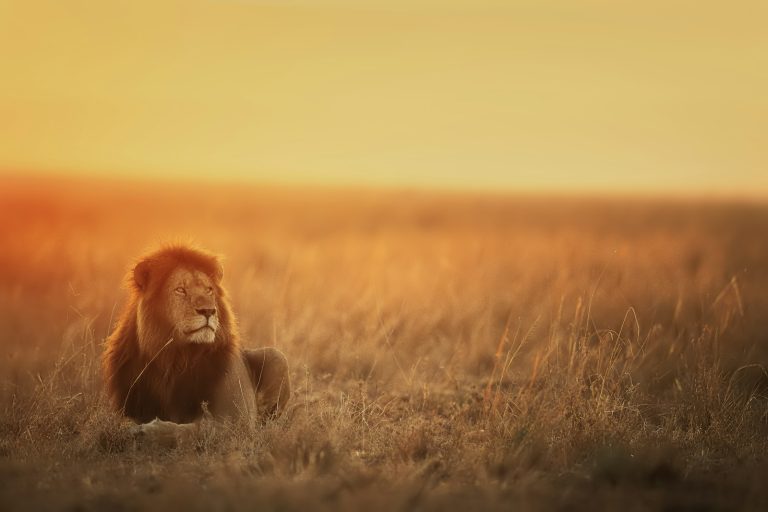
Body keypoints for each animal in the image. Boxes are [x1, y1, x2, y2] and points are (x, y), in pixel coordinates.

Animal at [103, 244, 290, 435]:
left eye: (209, 289)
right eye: (180, 290)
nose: (208, 311)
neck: (175, 358)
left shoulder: (235, 420)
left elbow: (194, 430)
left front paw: (149, 431)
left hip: (277, 356)